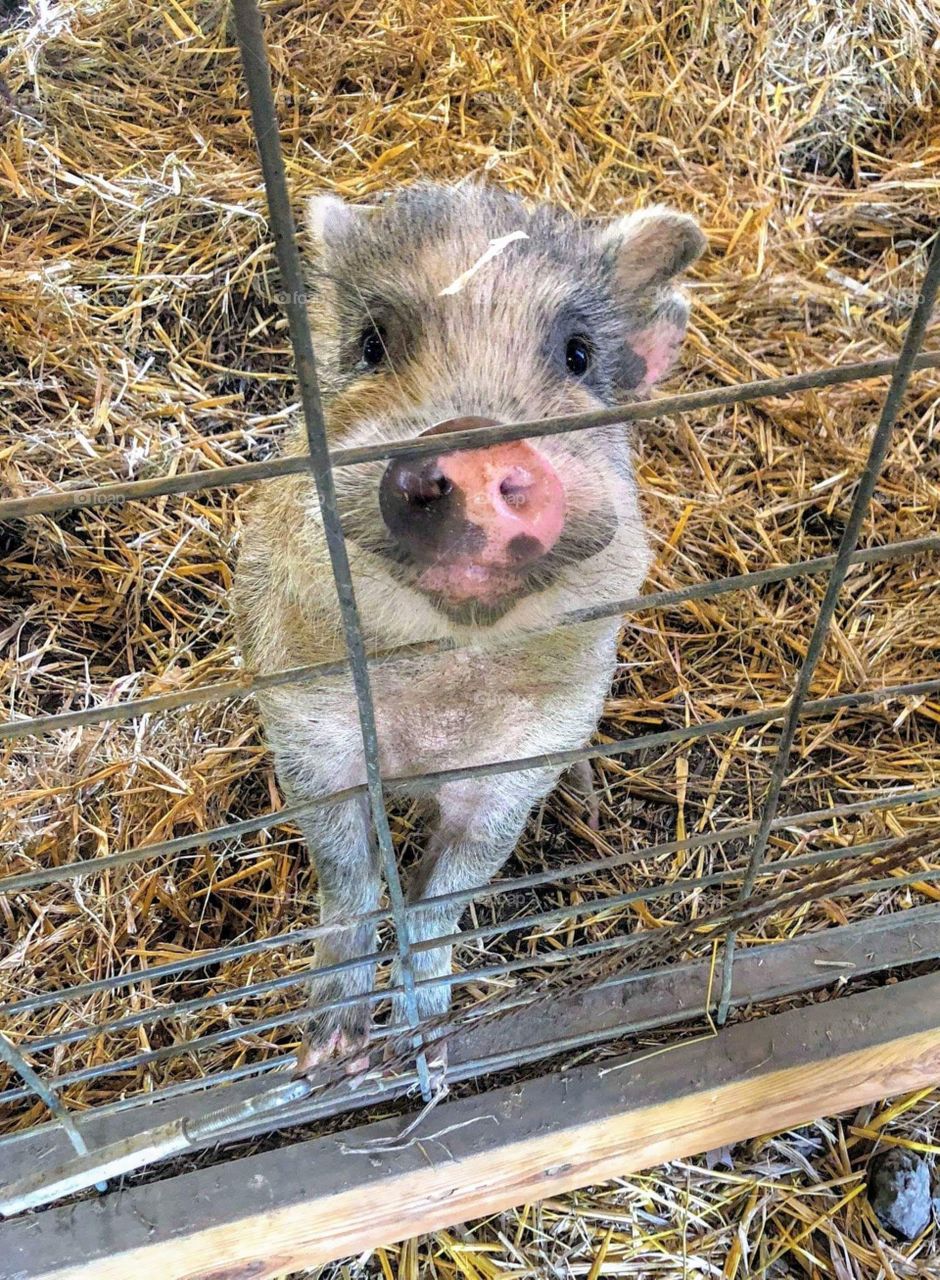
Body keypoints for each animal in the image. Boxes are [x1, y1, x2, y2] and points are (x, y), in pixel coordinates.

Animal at [232, 182, 704, 1076]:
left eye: (578, 354)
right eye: (373, 344)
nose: (473, 446)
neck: (439, 706)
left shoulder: (518, 763)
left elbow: (446, 895)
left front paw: (430, 1058)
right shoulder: (308, 729)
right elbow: (348, 881)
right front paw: (329, 1060)